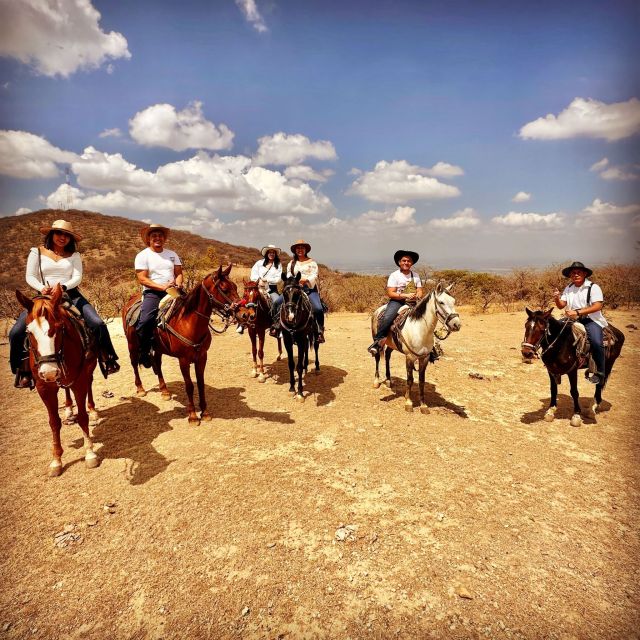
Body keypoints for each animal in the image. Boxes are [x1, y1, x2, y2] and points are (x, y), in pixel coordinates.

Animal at [15, 284, 100, 476]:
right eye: (28, 332)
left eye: (59, 327)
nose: (49, 372)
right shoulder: (45, 388)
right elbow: (54, 422)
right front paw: (56, 460)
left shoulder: (79, 381)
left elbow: (82, 417)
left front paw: (90, 453)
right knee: (66, 390)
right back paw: (68, 409)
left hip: (88, 371)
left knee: (89, 385)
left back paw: (92, 410)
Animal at [121, 266, 241, 424]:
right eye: (224, 289)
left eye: (235, 287)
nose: (244, 312)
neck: (188, 322)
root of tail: (129, 302)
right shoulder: (183, 360)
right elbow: (189, 386)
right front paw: (193, 416)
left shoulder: (202, 357)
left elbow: (200, 383)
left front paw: (205, 413)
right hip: (132, 345)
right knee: (134, 363)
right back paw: (140, 389)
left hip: (158, 348)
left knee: (157, 364)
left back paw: (164, 391)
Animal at [370, 284, 460, 412]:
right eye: (441, 302)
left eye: (453, 301)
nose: (456, 324)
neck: (420, 330)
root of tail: (378, 310)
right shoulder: (410, 357)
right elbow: (410, 380)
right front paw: (408, 402)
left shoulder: (424, 358)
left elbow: (421, 381)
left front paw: (423, 405)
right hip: (376, 340)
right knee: (377, 358)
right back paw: (376, 381)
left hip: (392, 344)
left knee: (387, 356)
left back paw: (388, 380)